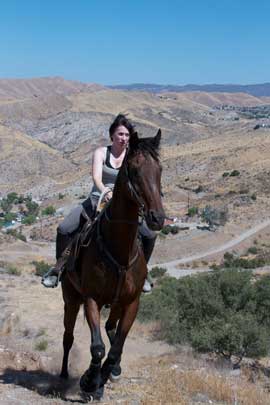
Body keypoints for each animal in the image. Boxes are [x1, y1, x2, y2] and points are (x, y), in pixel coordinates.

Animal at [59, 129, 165, 398]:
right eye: (134, 170)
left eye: (159, 170)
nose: (157, 218)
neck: (119, 250)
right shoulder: (91, 299)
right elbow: (97, 347)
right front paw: (89, 382)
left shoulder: (131, 302)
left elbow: (116, 347)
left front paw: (104, 376)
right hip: (71, 299)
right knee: (68, 337)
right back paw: (64, 374)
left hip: (116, 303)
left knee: (110, 328)